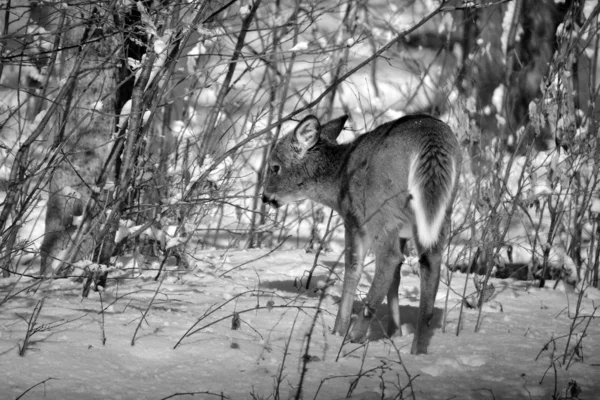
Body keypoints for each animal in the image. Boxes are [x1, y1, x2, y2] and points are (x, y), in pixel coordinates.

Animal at [260, 113, 462, 354]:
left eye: (275, 167)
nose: (265, 197)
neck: (338, 179)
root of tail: (431, 141)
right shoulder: (401, 233)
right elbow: (396, 279)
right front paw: (394, 332)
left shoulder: (354, 220)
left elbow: (353, 268)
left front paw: (338, 329)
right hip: (439, 214)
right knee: (429, 262)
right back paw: (417, 351)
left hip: (380, 209)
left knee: (389, 258)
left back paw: (353, 336)